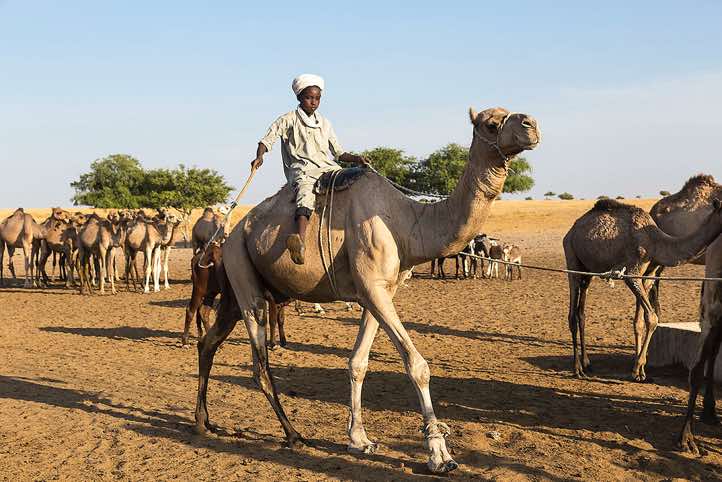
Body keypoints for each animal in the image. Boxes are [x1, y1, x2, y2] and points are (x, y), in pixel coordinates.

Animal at [195, 106, 540, 473]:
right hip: (245, 277)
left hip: (234, 289)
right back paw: (293, 435)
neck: (406, 222)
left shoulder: (379, 291)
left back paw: (203, 422)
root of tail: (228, 235)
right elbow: (417, 365)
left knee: (209, 343)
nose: (531, 125)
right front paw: (439, 454)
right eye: (490, 124)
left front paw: (359, 440)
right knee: (259, 363)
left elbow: (358, 363)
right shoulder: (373, 286)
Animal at [563, 198, 722, 381]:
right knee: (572, 313)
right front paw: (638, 367)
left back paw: (587, 363)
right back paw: (577, 369)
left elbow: (640, 321)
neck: (656, 242)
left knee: (581, 312)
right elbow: (652, 317)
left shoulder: (649, 275)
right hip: (571, 256)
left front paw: (640, 371)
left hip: (588, 270)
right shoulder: (632, 273)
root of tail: (570, 231)